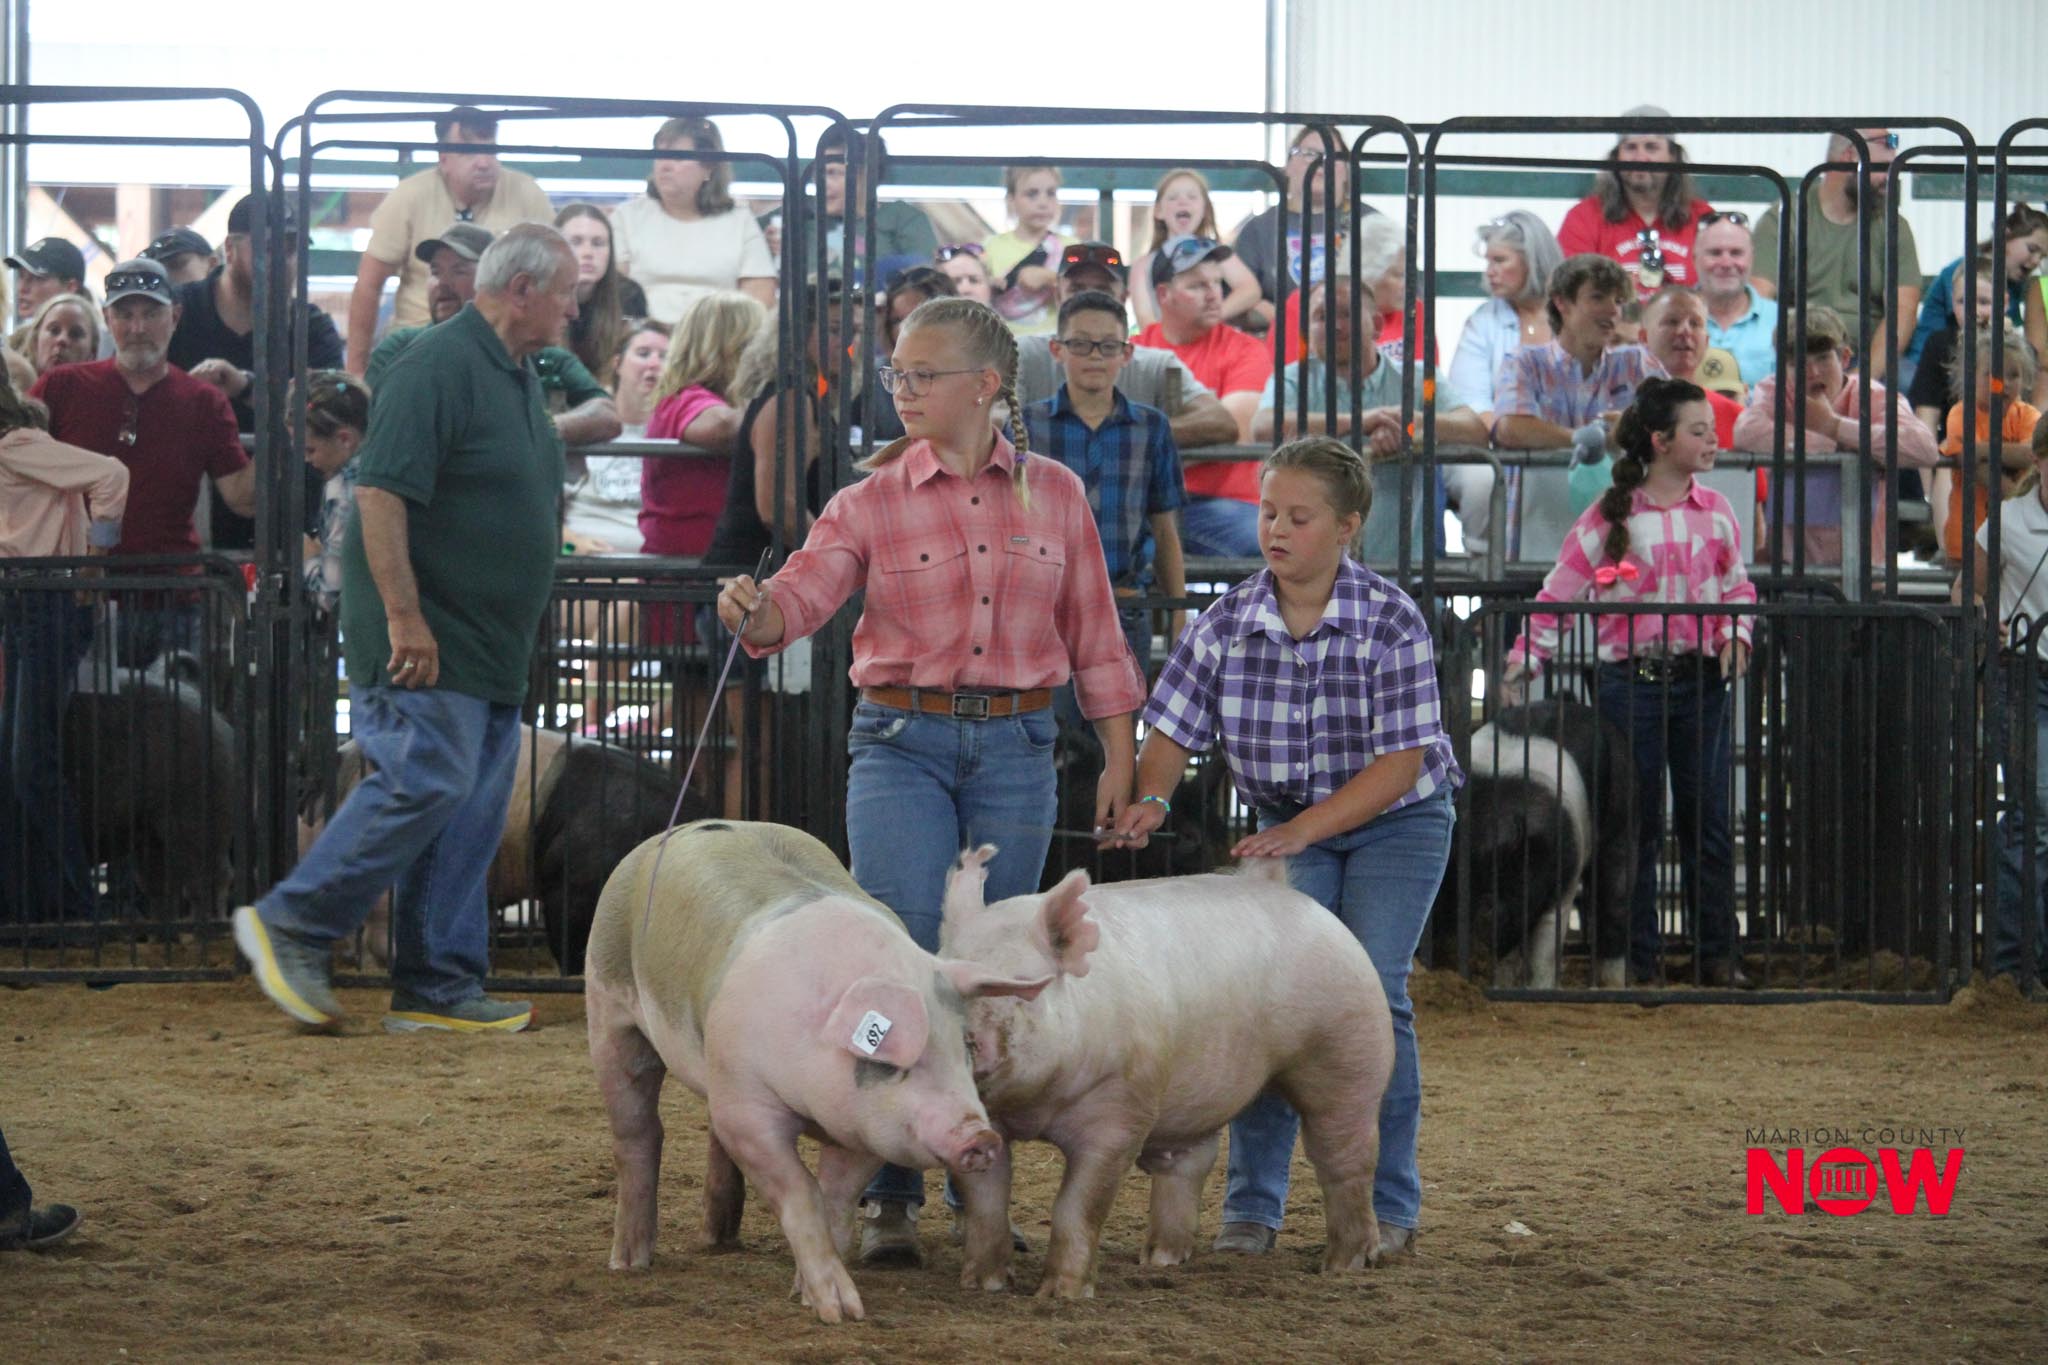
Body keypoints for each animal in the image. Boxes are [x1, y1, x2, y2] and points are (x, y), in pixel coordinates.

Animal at [584, 819, 1056, 1324]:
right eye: (888, 1060)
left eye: (966, 1047)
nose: (980, 1136)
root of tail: (671, 833)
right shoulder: (748, 1109)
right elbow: (802, 1192)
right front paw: (841, 1311)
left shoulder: (866, 1130)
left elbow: (835, 1199)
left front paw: (807, 1295)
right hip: (608, 1009)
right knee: (640, 1133)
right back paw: (629, 1262)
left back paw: (718, 1240)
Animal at [938, 848, 1394, 1298]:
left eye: (1024, 986)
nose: (963, 1037)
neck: (1035, 1107)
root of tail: (1284, 889)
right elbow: (985, 1201)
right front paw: (983, 1284)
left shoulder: (1121, 1108)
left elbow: (1077, 1205)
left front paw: (1060, 1295)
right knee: (1191, 1163)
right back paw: (1160, 1259)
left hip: (1349, 1046)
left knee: (1345, 1156)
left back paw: (1345, 1265)